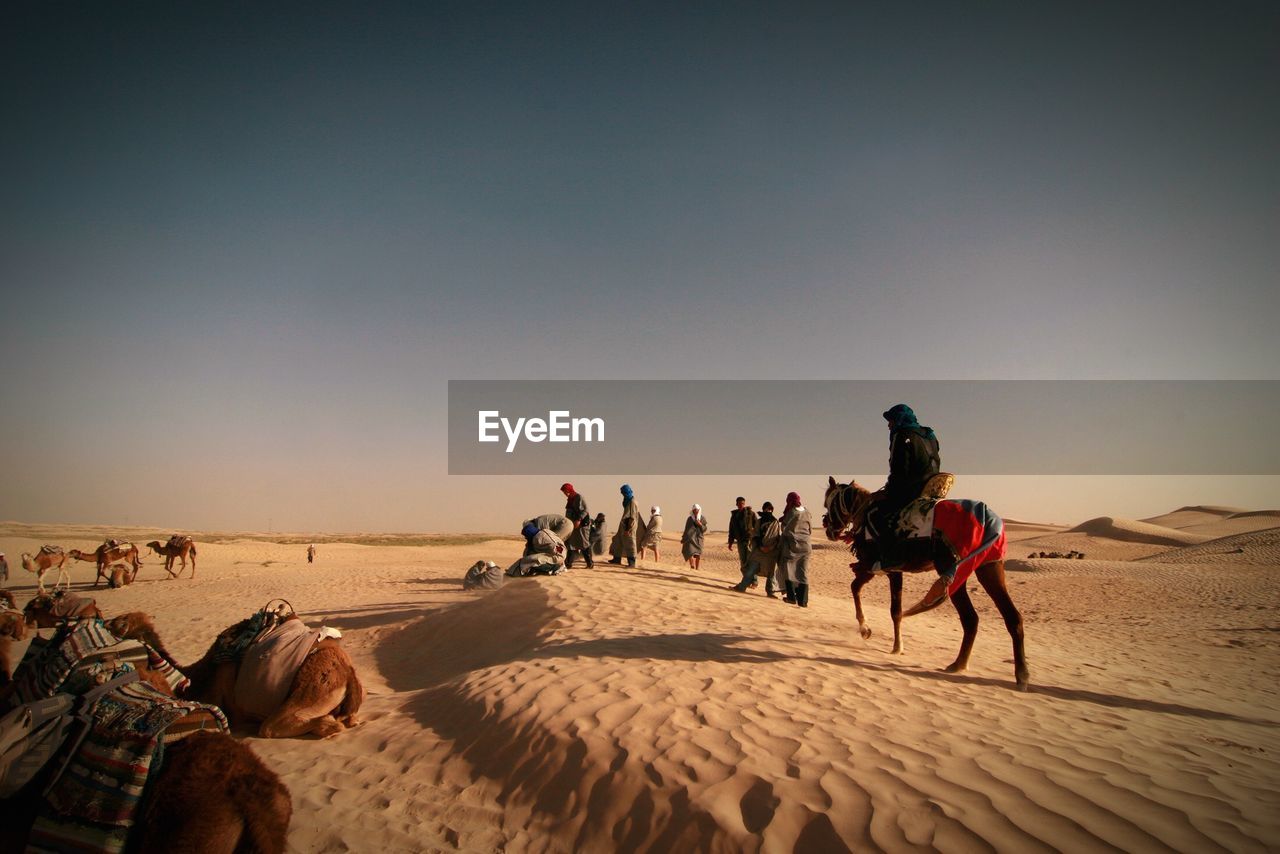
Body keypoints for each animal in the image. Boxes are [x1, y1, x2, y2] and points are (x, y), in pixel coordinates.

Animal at [829, 473, 1029, 696]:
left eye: (829, 502)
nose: (828, 528)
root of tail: (986, 516)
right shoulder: (885, 570)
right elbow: (885, 604)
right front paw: (887, 640)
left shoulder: (881, 568)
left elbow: (882, 603)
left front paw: (882, 638)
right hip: (990, 566)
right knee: (1012, 617)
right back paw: (1020, 675)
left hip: (953, 568)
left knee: (970, 618)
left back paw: (958, 664)